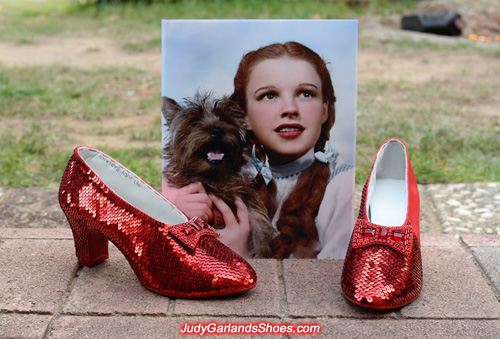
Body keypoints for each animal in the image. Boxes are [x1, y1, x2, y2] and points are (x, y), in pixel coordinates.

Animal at [161, 92, 276, 258]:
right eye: (194, 121)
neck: (214, 178)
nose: (217, 131)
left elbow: (260, 233)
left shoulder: (252, 210)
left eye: (225, 119)